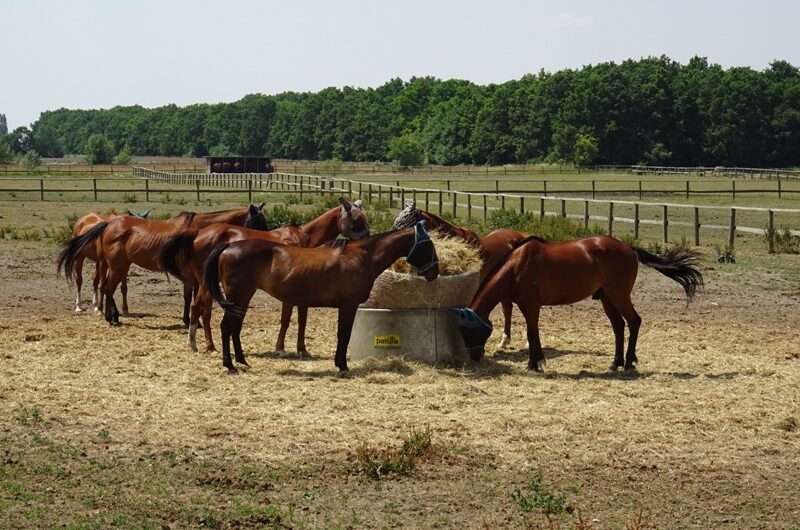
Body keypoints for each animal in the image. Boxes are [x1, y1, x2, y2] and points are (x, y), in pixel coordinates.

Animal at [57, 203, 268, 324]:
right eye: (257, 222)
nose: (266, 239)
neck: (198, 232)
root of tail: (108, 223)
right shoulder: (190, 275)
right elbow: (188, 297)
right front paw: (189, 321)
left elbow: (193, 297)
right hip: (115, 266)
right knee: (107, 288)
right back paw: (111, 318)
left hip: (120, 266)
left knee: (108, 288)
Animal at [159, 198, 372, 354]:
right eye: (356, 219)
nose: (368, 238)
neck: (303, 238)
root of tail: (197, 234)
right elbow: (287, 319)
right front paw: (281, 349)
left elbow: (301, 319)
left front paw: (301, 349)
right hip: (206, 282)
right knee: (200, 308)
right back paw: (202, 345)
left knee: (202, 309)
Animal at [200, 223, 438, 376]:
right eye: (428, 245)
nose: (435, 272)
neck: (361, 257)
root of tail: (229, 246)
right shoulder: (348, 306)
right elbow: (343, 334)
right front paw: (342, 366)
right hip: (238, 296)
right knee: (226, 327)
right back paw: (230, 366)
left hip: (242, 298)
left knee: (234, 328)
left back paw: (241, 361)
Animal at [454, 235, 704, 372]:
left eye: (471, 332)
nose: (475, 356)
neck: (517, 265)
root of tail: (629, 248)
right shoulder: (525, 305)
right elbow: (532, 333)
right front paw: (535, 363)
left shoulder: (531, 306)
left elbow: (533, 333)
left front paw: (536, 363)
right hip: (607, 298)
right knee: (619, 326)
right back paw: (615, 363)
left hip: (619, 295)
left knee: (634, 321)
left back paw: (629, 362)